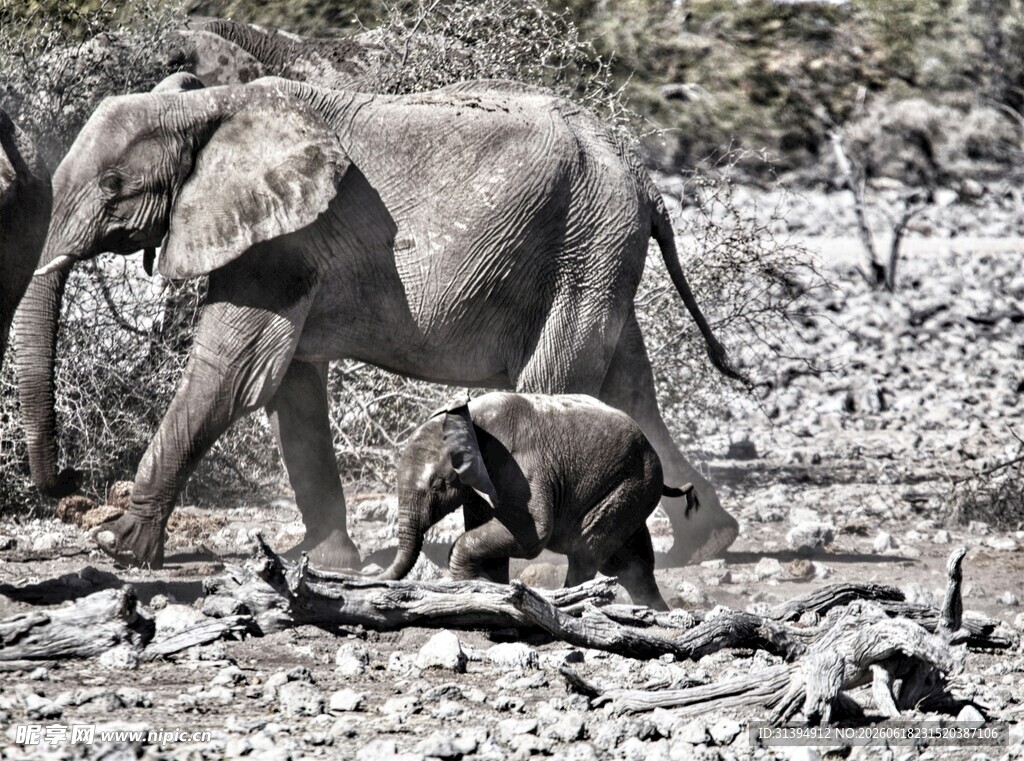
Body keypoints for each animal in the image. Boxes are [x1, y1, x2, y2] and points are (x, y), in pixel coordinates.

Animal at [18, 74, 742, 570]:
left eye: (113, 187)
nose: (71, 480)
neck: (215, 106)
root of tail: (646, 182)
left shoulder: (279, 243)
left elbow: (232, 374)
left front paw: (117, 545)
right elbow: (292, 385)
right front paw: (326, 560)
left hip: (585, 245)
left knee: (564, 385)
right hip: (599, 254)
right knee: (630, 390)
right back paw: (706, 545)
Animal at [379, 392, 696, 610]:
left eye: (438, 486)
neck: (470, 418)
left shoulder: (521, 469)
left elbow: (533, 535)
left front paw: (471, 583)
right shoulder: (482, 482)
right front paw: (487, 588)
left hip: (632, 484)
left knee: (586, 550)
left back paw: (567, 601)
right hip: (633, 493)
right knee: (633, 565)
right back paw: (659, 610)